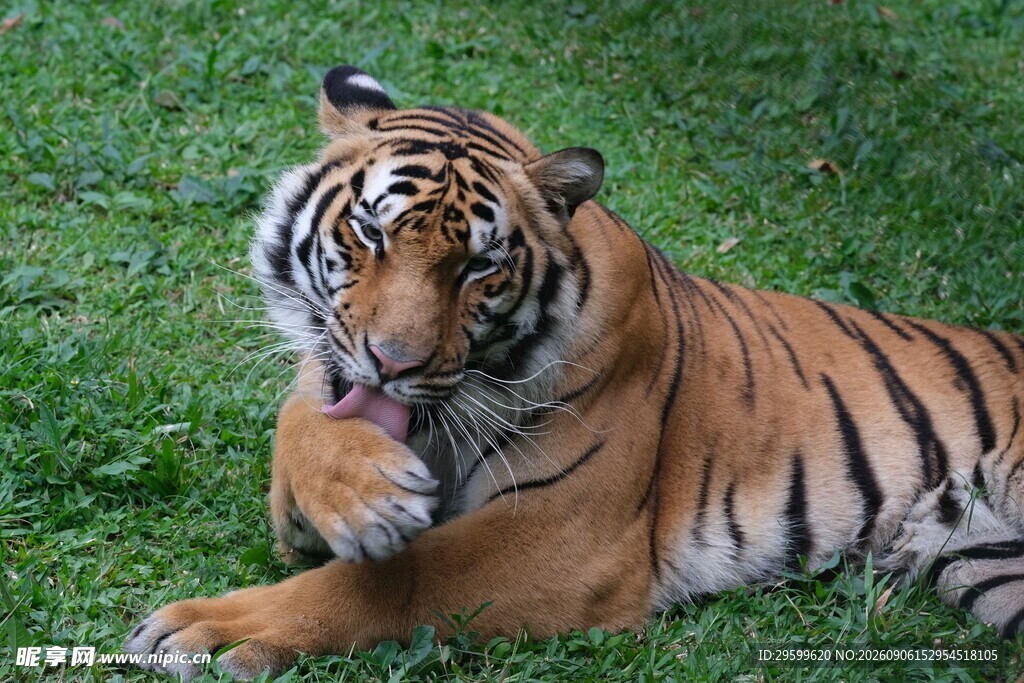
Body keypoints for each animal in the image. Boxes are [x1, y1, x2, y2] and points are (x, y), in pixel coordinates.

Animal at [125, 65, 1024, 679]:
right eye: (371, 233)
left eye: (478, 267)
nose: (393, 360)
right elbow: (302, 419)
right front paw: (365, 493)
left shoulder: (561, 537)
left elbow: (383, 585)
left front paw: (201, 629)